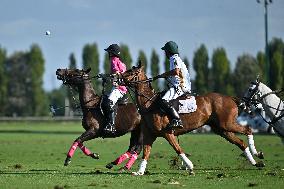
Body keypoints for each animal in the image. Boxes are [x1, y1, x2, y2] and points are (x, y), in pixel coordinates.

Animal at [120, 63, 264, 176]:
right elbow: (145, 153)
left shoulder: (168, 133)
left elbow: (178, 149)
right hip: (221, 129)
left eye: (131, 72)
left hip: (227, 124)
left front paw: (190, 166)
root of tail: (230, 98)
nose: (117, 77)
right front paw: (139, 172)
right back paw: (255, 162)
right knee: (241, 143)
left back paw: (257, 154)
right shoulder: (150, 135)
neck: (149, 104)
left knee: (248, 129)